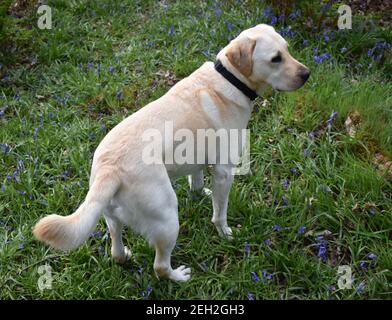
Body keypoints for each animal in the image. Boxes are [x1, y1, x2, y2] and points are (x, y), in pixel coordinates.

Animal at [33, 23, 310, 282]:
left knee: (116, 249)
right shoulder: (224, 171)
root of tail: (109, 170)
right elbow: (219, 214)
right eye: (275, 59)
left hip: (111, 217)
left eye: (287, 49)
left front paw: (201, 195)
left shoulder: (197, 159)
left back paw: (125, 256)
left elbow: (197, 183)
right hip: (167, 219)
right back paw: (179, 277)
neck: (229, 78)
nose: (307, 74)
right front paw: (225, 233)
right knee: (160, 267)